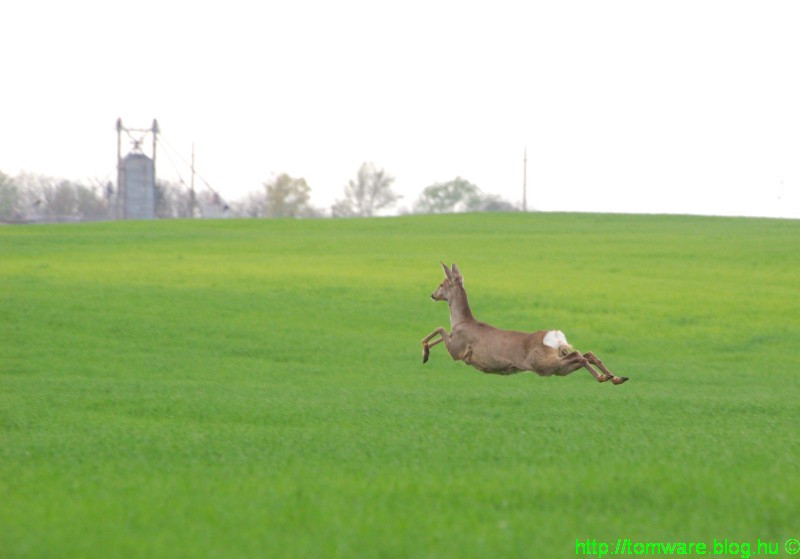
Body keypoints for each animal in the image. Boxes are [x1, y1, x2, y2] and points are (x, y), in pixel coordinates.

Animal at [422, 262, 628, 384]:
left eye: (441, 284)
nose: (432, 295)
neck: (461, 322)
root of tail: (554, 337)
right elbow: (441, 331)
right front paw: (426, 353)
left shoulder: (457, 350)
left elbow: (440, 329)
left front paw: (425, 352)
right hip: (557, 367)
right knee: (586, 354)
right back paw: (615, 377)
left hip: (543, 363)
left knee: (580, 355)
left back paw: (606, 376)